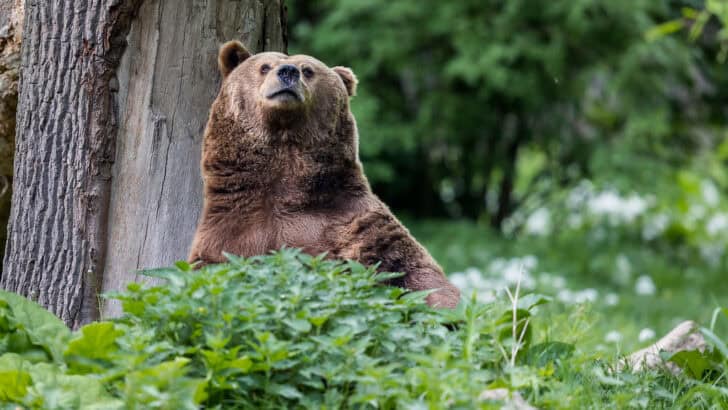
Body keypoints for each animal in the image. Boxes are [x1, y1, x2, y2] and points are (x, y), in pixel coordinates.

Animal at [188, 41, 460, 308]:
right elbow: (210, 266)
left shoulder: (350, 221)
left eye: (308, 70)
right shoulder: (232, 227)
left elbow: (410, 268)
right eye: (264, 66)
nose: (288, 72)